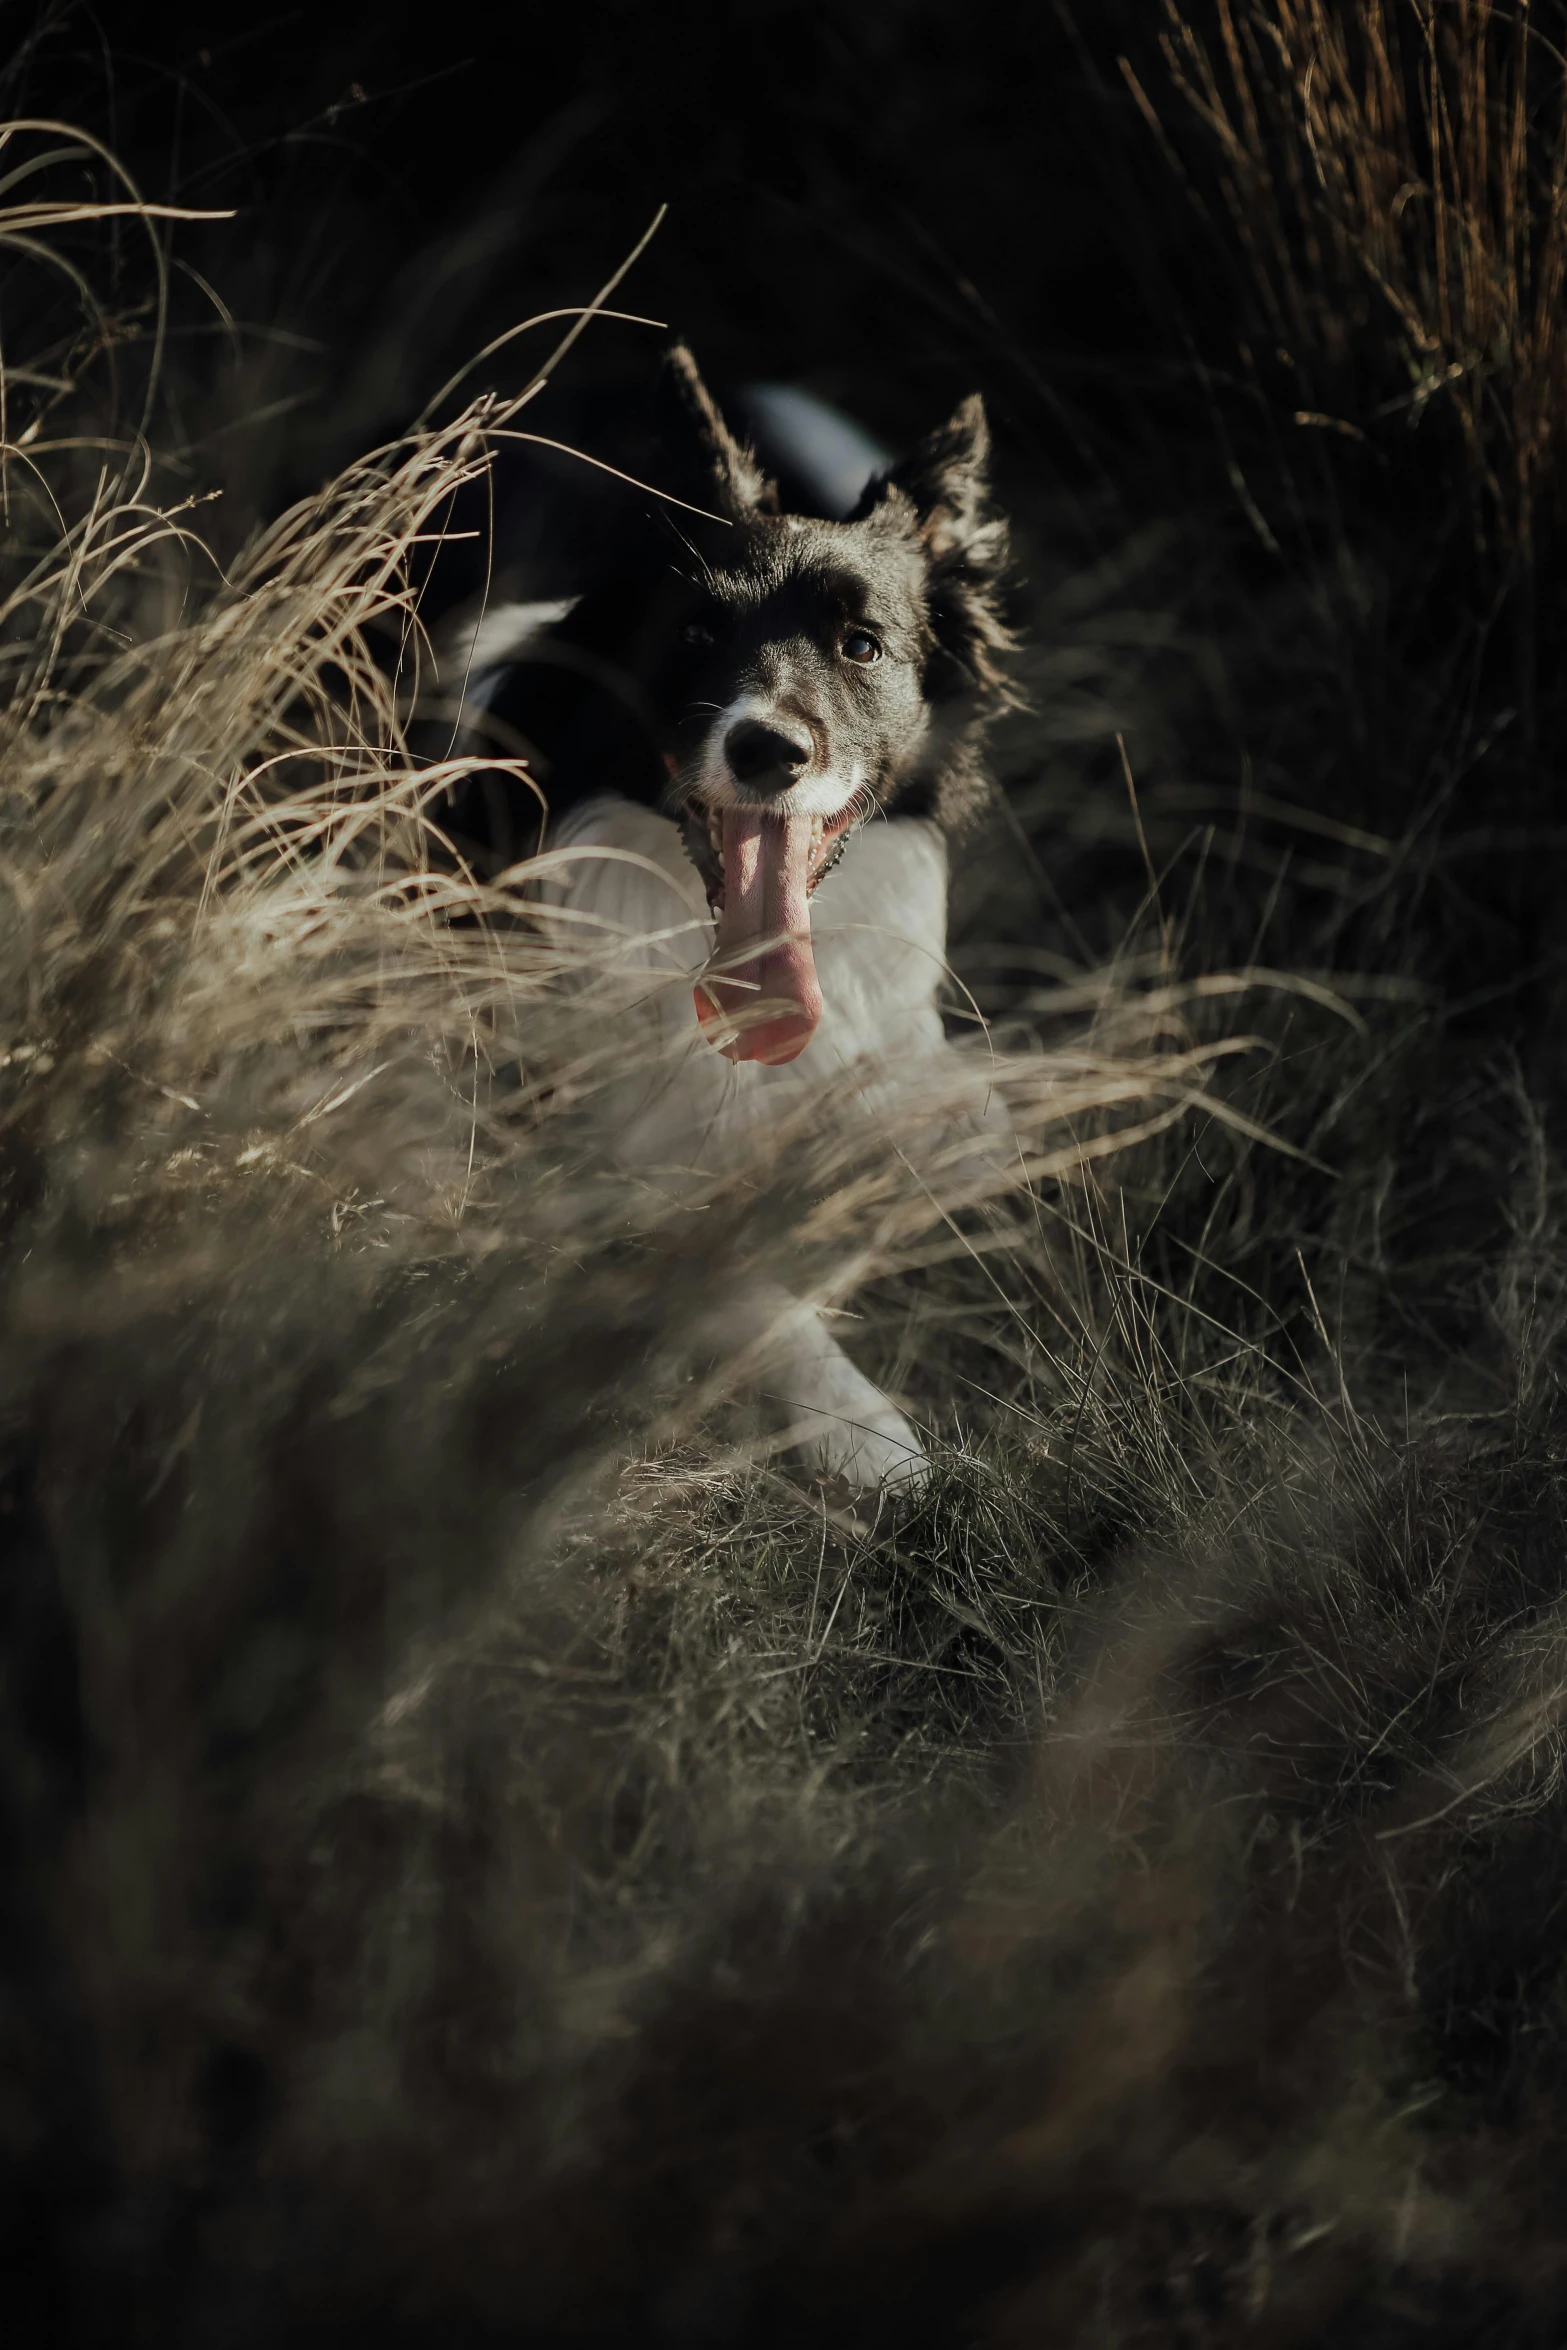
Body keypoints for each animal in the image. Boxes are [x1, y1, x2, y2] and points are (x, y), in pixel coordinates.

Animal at [441, 345, 1010, 1485]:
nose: (766, 750)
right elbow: (741, 1283)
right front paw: (863, 1431)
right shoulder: (577, 1159)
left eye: (860, 645)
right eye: (696, 630)